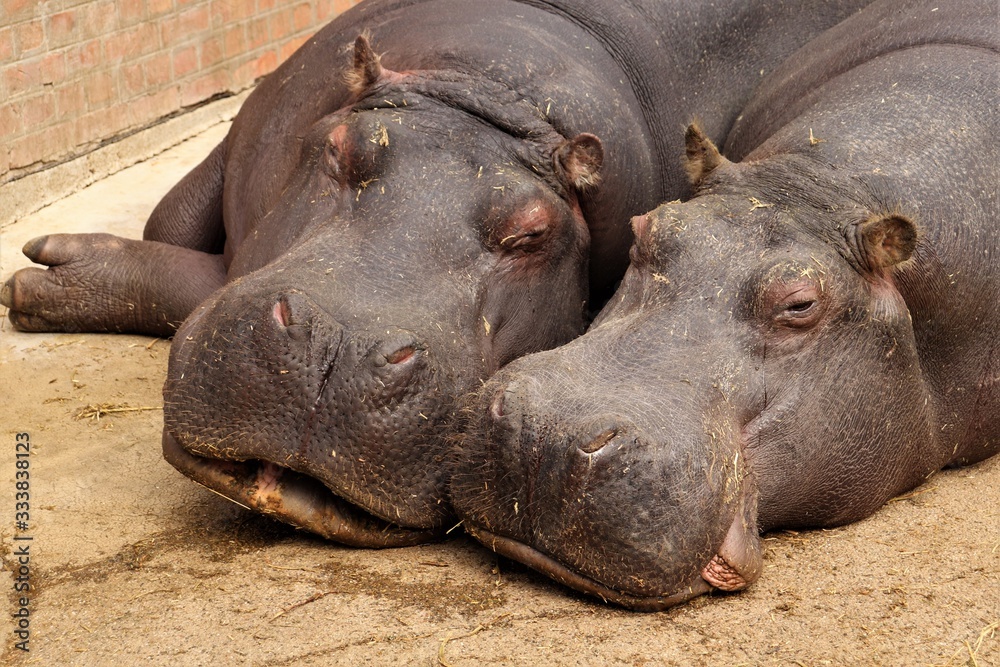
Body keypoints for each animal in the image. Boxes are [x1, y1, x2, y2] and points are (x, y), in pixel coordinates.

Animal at [1, 0, 876, 548]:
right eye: (339, 150)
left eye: (532, 232)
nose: (337, 351)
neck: (491, 89)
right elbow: (168, 222)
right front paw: (38, 277)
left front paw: (40, 277)